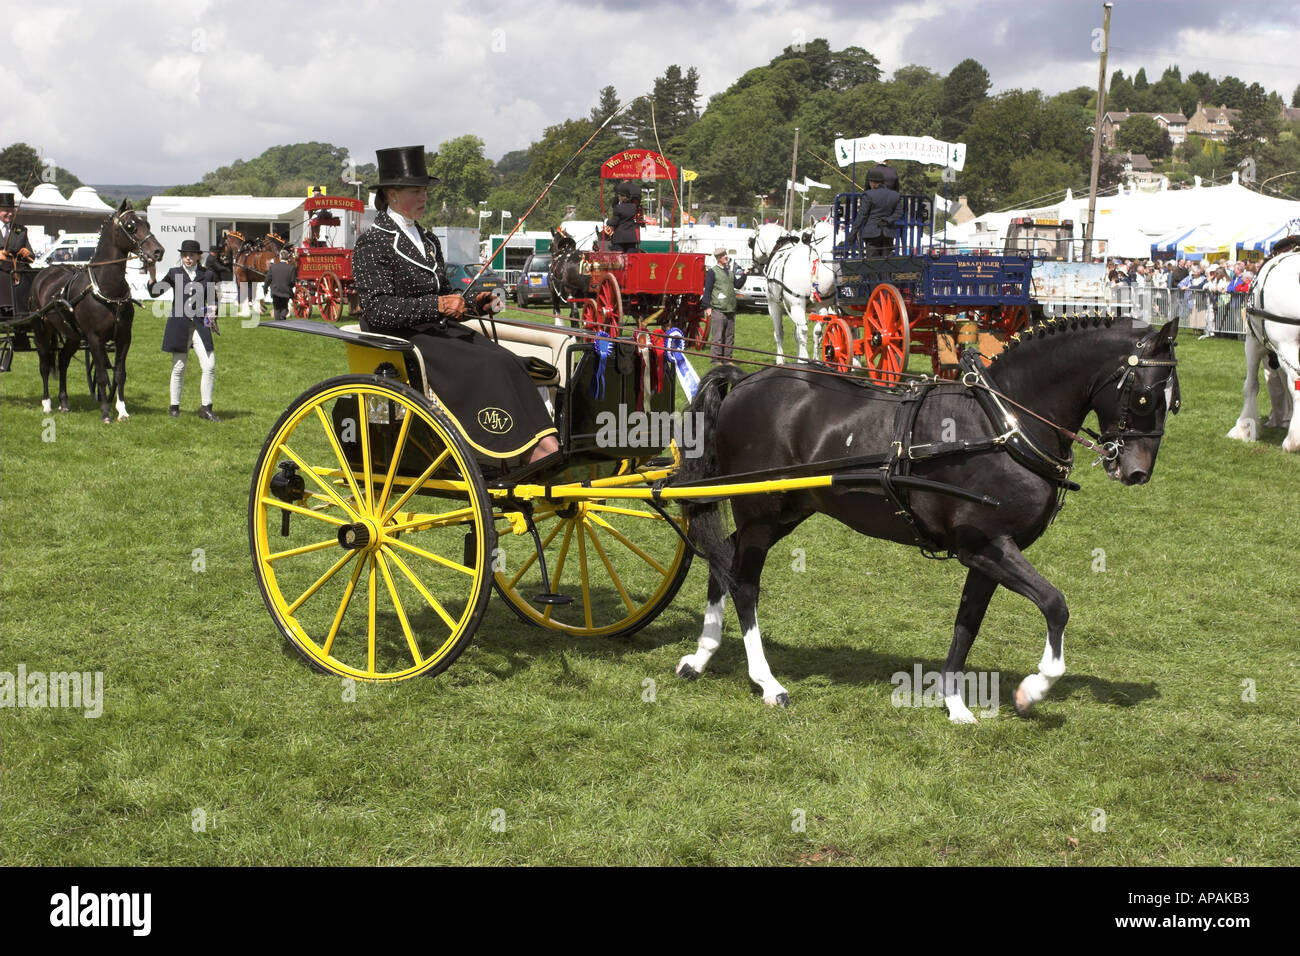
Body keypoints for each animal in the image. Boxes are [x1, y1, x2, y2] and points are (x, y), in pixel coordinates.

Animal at [27, 199, 163, 421]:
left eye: (147, 224)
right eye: (131, 226)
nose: (158, 252)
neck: (107, 289)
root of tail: (45, 272)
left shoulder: (124, 337)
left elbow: (119, 374)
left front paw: (122, 410)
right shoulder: (94, 339)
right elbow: (101, 376)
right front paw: (106, 413)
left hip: (73, 335)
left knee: (62, 361)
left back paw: (64, 402)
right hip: (41, 330)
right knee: (45, 364)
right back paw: (47, 403)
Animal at [676, 317, 1185, 723]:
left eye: (1173, 400)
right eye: (1145, 396)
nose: (1136, 471)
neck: (1003, 426)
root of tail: (745, 379)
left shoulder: (986, 556)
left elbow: (967, 625)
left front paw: (955, 703)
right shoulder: (986, 545)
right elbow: (1055, 605)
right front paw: (1033, 689)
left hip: (788, 511)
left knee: (723, 557)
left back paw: (700, 657)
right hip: (761, 512)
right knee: (744, 583)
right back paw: (767, 682)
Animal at [748, 222, 837, 364]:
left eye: (750, 242)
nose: (753, 266)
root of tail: (813, 259)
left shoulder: (774, 305)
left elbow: (779, 333)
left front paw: (780, 359)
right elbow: (797, 334)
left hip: (797, 305)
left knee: (804, 331)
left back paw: (804, 360)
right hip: (822, 305)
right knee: (817, 332)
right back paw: (816, 361)